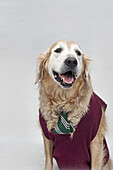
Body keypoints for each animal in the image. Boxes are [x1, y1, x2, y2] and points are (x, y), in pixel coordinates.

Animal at [35, 40, 112, 169]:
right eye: (58, 50)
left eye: (78, 53)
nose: (71, 61)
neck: (64, 100)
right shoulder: (47, 137)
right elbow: (48, 162)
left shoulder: (96, 141)